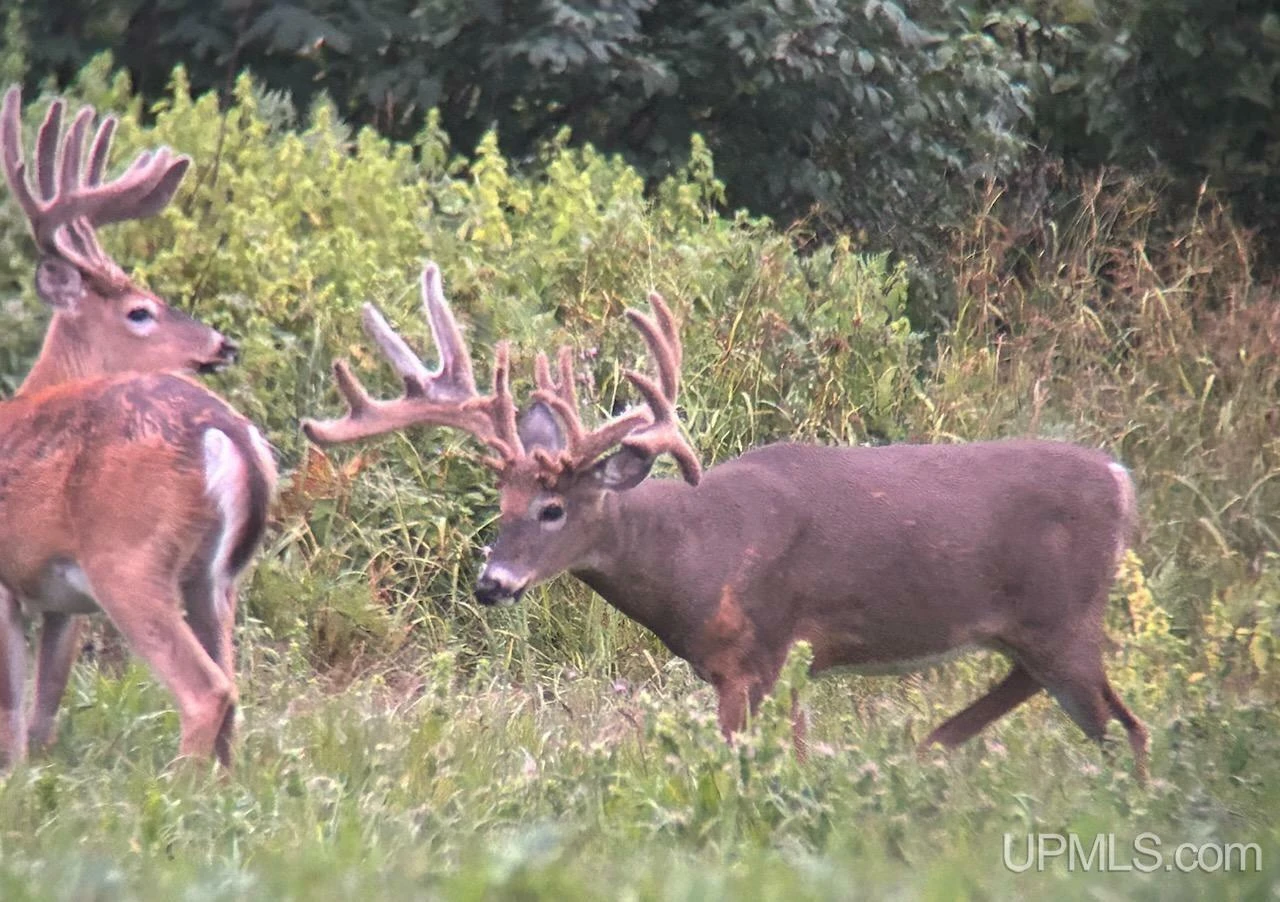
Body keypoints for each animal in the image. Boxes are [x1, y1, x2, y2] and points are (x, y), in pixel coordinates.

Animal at [0, 86, 276, 769]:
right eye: (141, 311)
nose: (223, 345)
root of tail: (226, 431)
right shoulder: (58, 599)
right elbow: (42, 707)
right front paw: (35, 771)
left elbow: (11, 707)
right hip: (215, 579)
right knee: (232, 688)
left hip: (128, 557)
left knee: (207, 689)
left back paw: (178, 784)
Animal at [302, 263, 1150, 783]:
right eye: (500, 504)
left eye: (552, 507)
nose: (491, 582)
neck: (695, 554)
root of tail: (1120, 480)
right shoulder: (777, 662)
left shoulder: (759, 651)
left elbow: (744, 761)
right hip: (1035, 628)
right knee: (1054, 695)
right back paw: (928, 747)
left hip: (1065, 617)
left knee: (1126, 728)